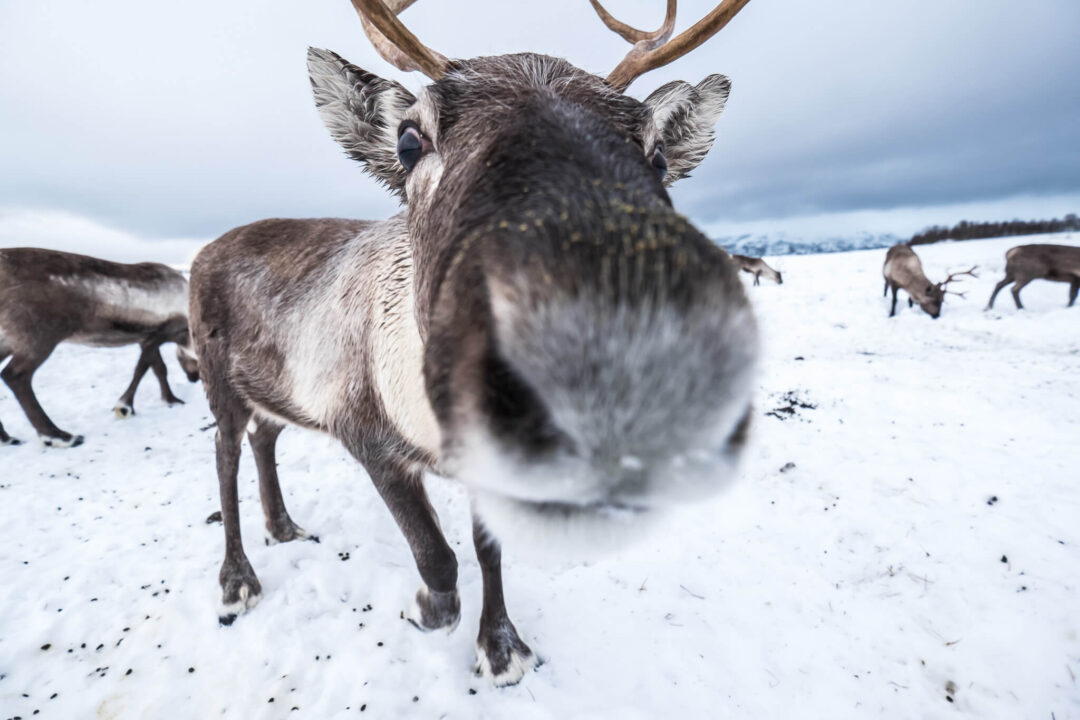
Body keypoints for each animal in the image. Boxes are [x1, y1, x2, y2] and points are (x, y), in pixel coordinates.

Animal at [0, 248, 200, 448]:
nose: (194, 378)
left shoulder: (146, 339)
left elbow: (157, 368)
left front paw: (170, 399)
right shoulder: (157, 335)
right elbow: (143, 368)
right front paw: (125, 406)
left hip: (8, 340)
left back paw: (7, 437)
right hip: (41, 336)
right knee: (15, 375)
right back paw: (59, 436)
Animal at [189, 0, 758, 686]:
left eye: (658, 156)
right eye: (409, 140)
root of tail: (207, 248)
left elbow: (489, 551)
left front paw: (502, 646)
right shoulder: (365, 435)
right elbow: (437, 558)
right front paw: (423, 609)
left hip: (273, 390)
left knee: (264, 437)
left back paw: (283, 527)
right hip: (218, 380)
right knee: (225, 457)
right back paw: (236, 579)